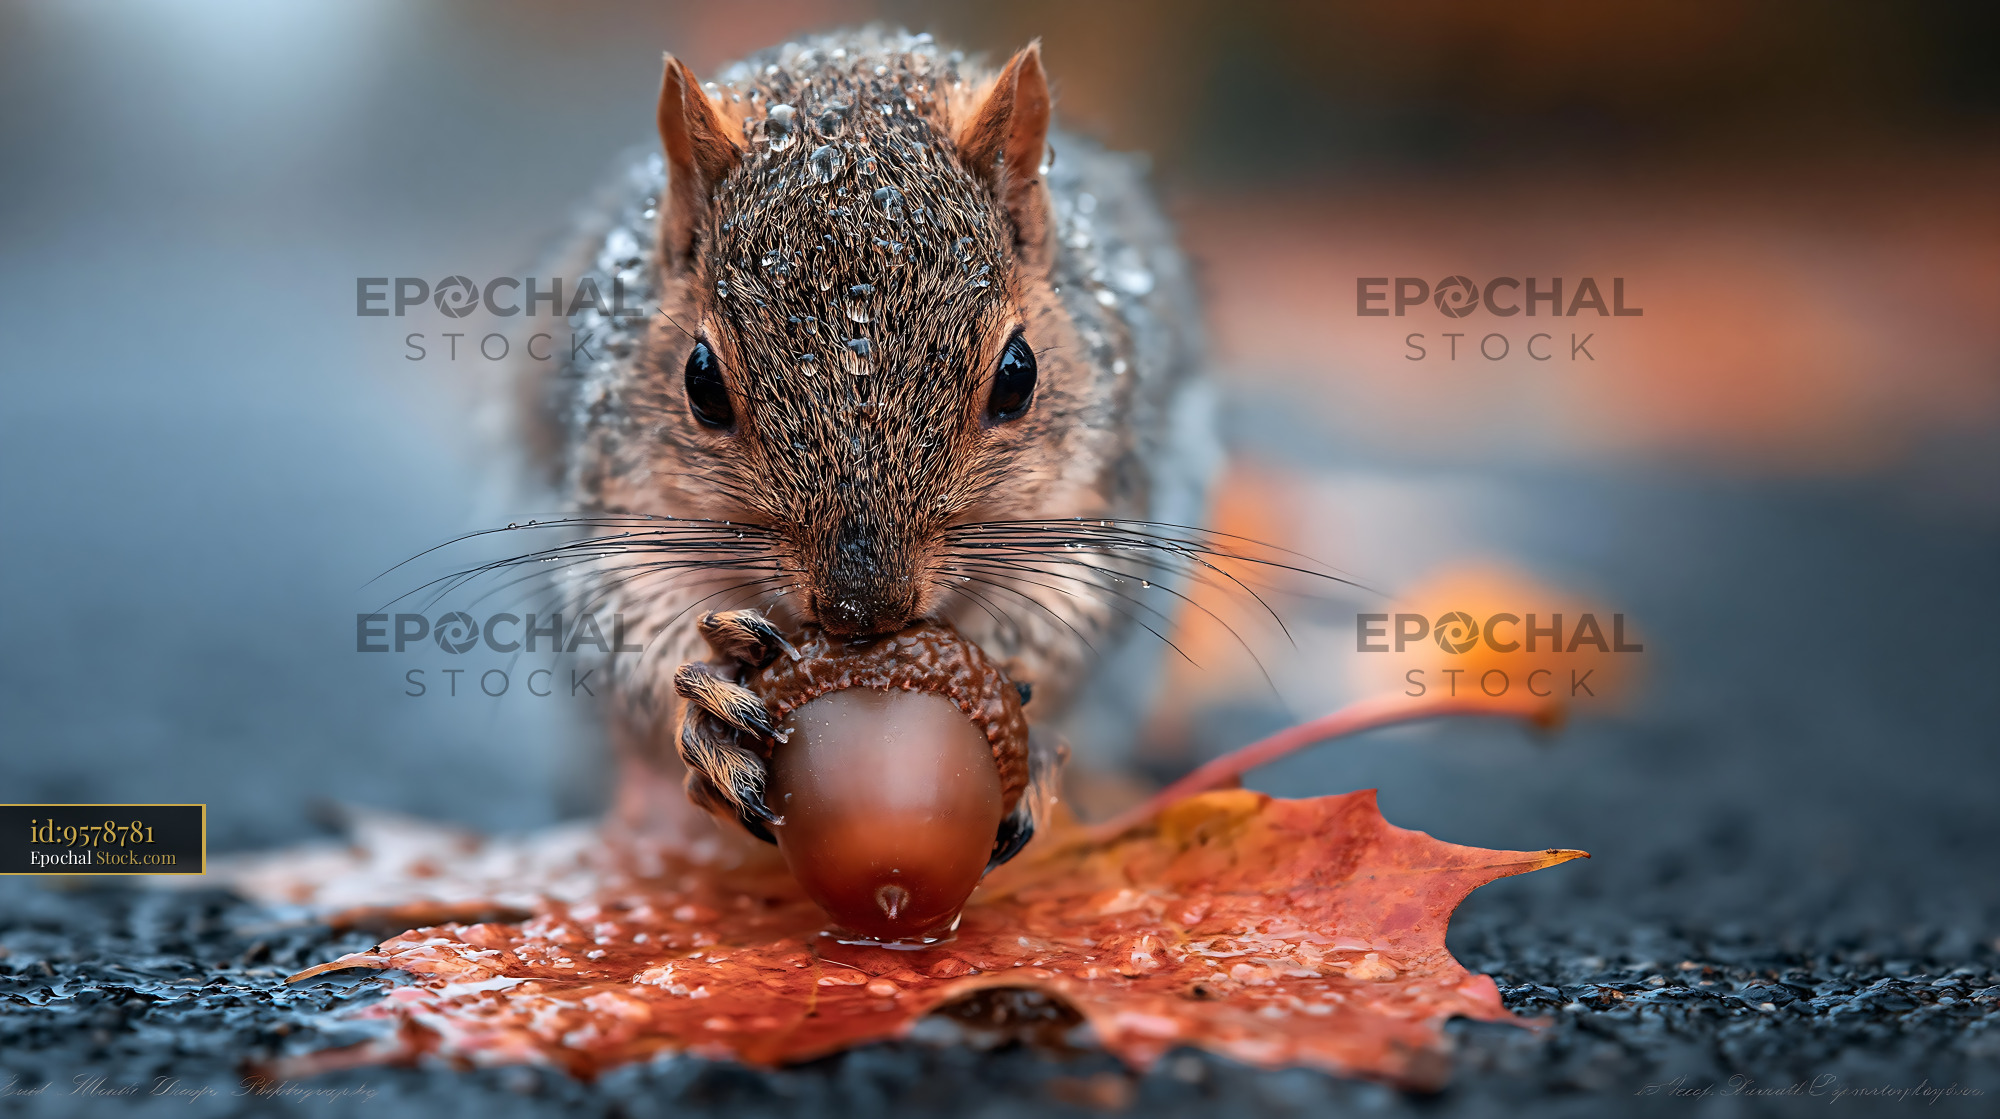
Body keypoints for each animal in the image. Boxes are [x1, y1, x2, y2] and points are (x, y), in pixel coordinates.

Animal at [513, 28, 1218, 860]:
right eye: (701, 382)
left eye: (1019, 375)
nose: (860, 607)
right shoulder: (619, 510)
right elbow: (631, 628)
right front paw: (709, 709)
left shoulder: (1096, 499)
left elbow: (1063, 610)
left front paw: (1018, 690)